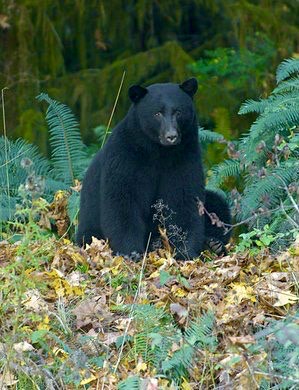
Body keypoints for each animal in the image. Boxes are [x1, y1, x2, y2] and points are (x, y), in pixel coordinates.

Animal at [77, 78, 232, 258]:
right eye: (157, 113)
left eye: (178, 112)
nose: (171, 136)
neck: (159, 152)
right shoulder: (124, 157)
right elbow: (122, 200)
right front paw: (131, 252)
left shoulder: (185, 157)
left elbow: (184, 198)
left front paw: (185, 252)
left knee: (218, 203)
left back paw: (214, 244)